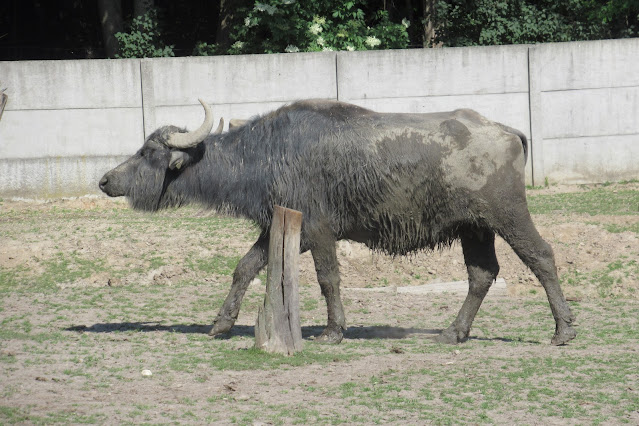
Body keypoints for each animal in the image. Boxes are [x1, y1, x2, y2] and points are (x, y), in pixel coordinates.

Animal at [99, 98, 576, 345]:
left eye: (148, 151)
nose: (105, 180)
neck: (267, 153)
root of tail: (505, 130)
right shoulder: (280, 227)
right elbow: (245, 267)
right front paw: (220, 323)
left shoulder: (318, 231)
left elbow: (328, 279)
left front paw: (332, 331)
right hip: (474, 229)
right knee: (482, 274)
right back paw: (452, 332)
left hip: (508, 215)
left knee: (542, 257)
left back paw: (563, 330)